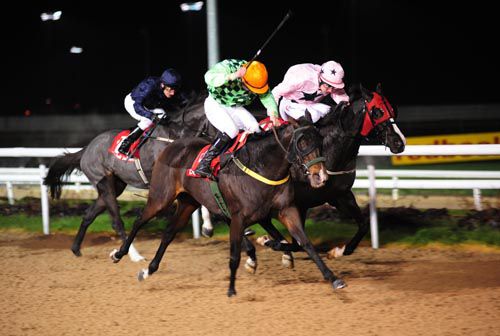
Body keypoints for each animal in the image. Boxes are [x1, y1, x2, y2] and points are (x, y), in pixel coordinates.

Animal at [42, 90, 215, 262]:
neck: (175, 136)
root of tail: (86, 150)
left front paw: (207, 228)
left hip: (115, 185)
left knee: (88, 216)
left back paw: (76, 248)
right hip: (103, 182)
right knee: (116, 222)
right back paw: (132, 255)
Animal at [107, 118, 344, 296]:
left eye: (320, 142)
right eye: (302, 143)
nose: (321, 177)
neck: (263, 166)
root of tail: (171, 146)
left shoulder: (285, 210)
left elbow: (304, 243)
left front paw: (333, 278)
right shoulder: (239, 217)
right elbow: (235, 255)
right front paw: (231, 288)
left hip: (188, 202)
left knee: (168, 234)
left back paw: (148, 270)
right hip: (160, 197)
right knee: (139, 220)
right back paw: (120, 253)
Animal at [235, 83, 406, 268]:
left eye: (392, 110)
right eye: (377, 112)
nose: (400, 142)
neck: (330, 150)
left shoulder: (340, 195)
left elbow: (364, 224)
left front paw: (338, 251)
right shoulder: (298, 203)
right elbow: (297, 243)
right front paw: (270, 243)